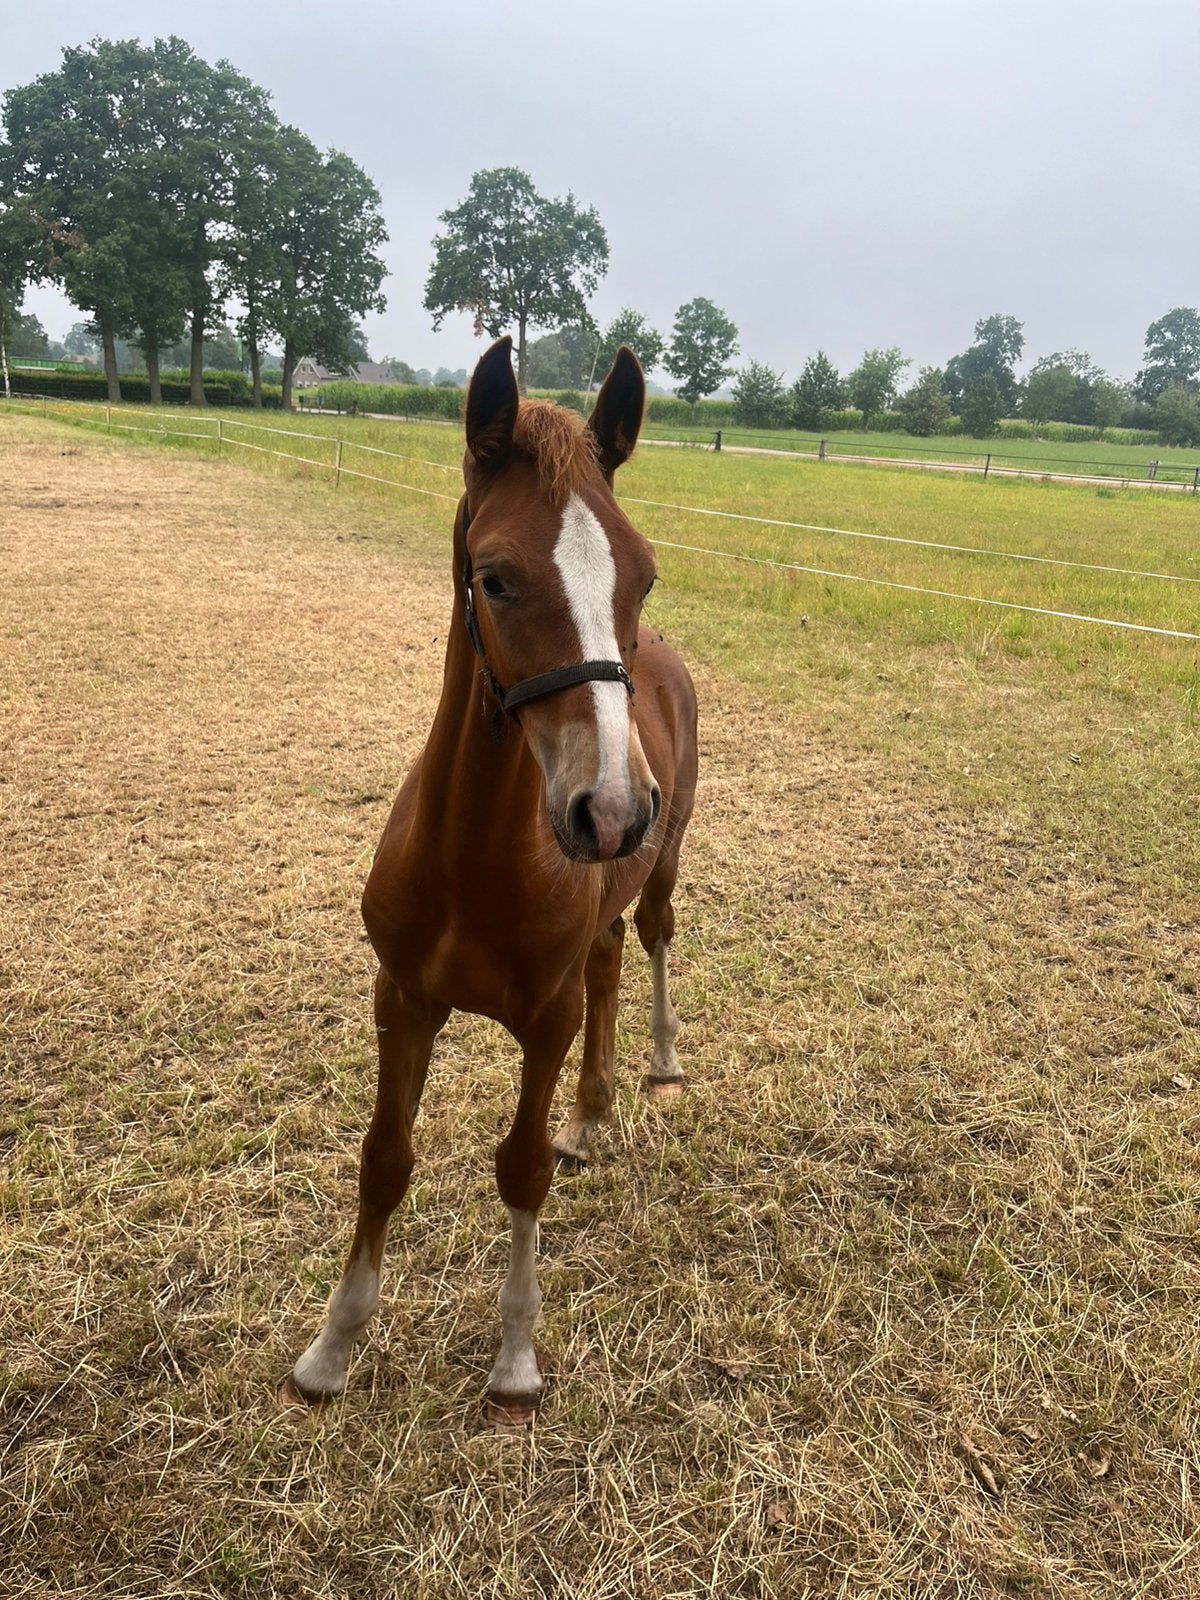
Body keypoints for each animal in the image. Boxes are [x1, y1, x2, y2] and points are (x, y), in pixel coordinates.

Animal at [285, 336, 698, 1427]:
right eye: (495, 578)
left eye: (643, 575)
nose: (613, 810)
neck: (472, 861)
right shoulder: (403, 999)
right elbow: (384, 1160)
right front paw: (333, 1347)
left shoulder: (543, 1019)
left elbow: (519, 1166)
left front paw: (516, 1356)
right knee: (608, 962)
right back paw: (592, 1115)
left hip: (667, 864)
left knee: (651, 942)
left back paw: (657, 1063)